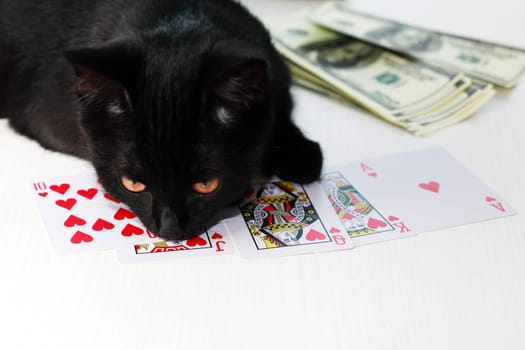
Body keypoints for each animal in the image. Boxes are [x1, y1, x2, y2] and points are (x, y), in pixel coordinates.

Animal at [0, 0, 322, 241]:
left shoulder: (273, 66)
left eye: (206, 185)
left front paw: (301, 154)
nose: (169, 230)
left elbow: (281, 108)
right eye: (132, 184)